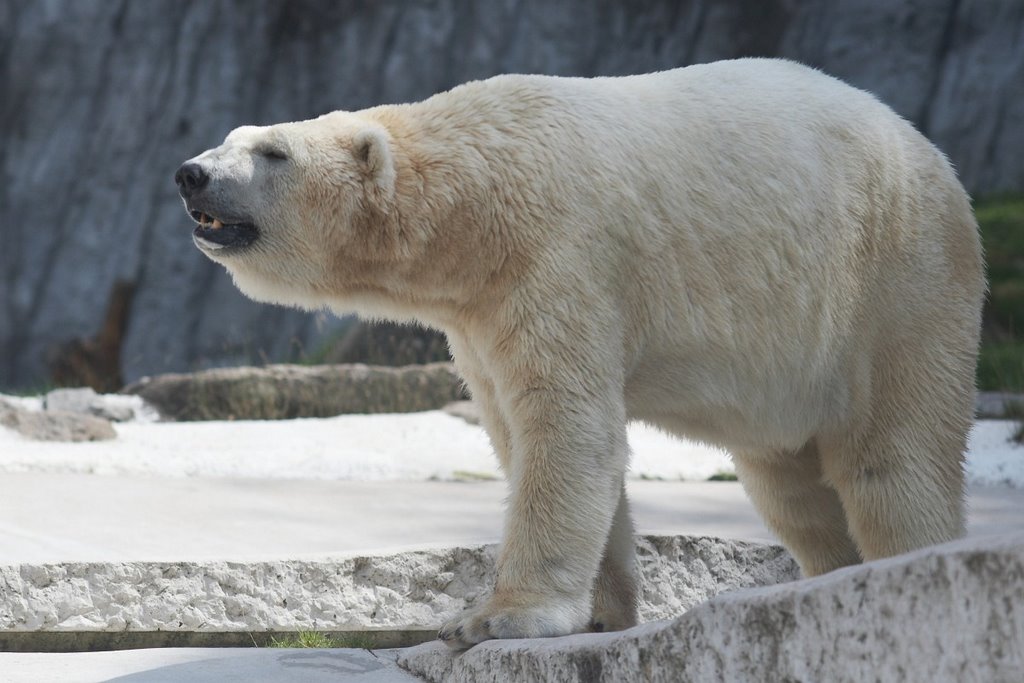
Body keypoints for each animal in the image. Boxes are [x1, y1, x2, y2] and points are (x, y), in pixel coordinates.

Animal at [174, 60, 983, 651]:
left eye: (273, 152)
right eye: (230, 137)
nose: (190, 173)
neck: (477, 195)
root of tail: (931, 154)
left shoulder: (560, 257)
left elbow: (564, 429)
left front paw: (497, 617)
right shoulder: (479, 315)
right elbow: (520, 429)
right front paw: (601, 610)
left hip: (892, 284)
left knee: (892, 456)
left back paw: (903, 565)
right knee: (792, 485)